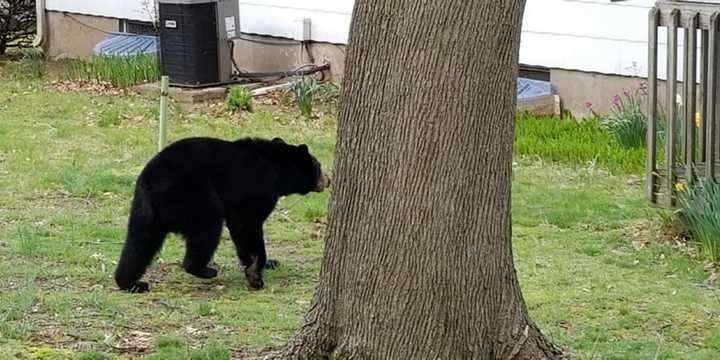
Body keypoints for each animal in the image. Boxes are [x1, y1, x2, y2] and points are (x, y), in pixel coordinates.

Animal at [112, 136, 330, 294]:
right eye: (318, 166)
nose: (328, 180)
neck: (276, 168)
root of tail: (151, 182)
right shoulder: (257, 189)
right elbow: (248, 224)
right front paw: (256, 273)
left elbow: (240, 231)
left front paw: (264, 263)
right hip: (193, 196)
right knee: (207, 229)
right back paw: (204, 269)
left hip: (143, 210)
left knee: (139, 243)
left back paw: (131, 283)